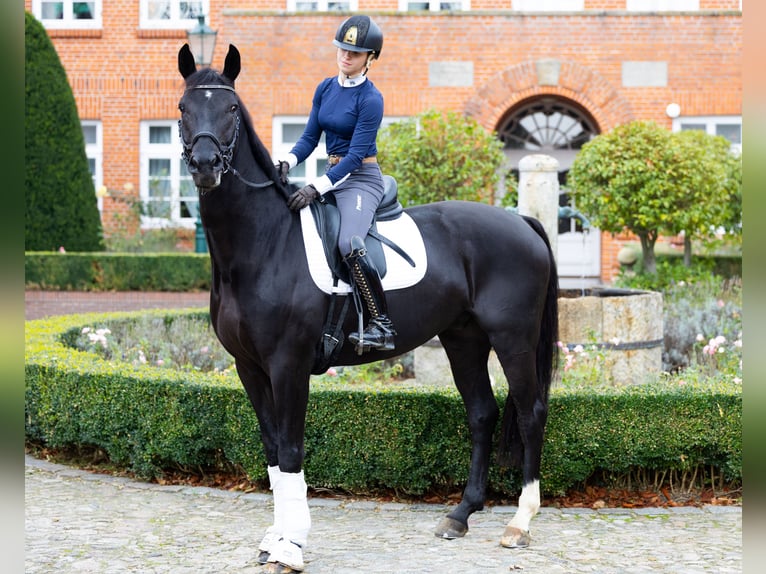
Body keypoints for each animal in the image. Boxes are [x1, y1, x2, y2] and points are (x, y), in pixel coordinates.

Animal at [177, 43, 558, 573]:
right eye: (183, 108)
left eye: (232, 108)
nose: (206, 164)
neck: (263, 243)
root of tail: (523, 221)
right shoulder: (249, 366)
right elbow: (272, 450)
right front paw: (274, 538)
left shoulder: (288, 364)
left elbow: (291, 451)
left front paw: (291, 546)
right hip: (463, 338)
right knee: (482, 412)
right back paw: (460, 515)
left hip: (513, 339)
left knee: (530, 412)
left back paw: (520, 523)